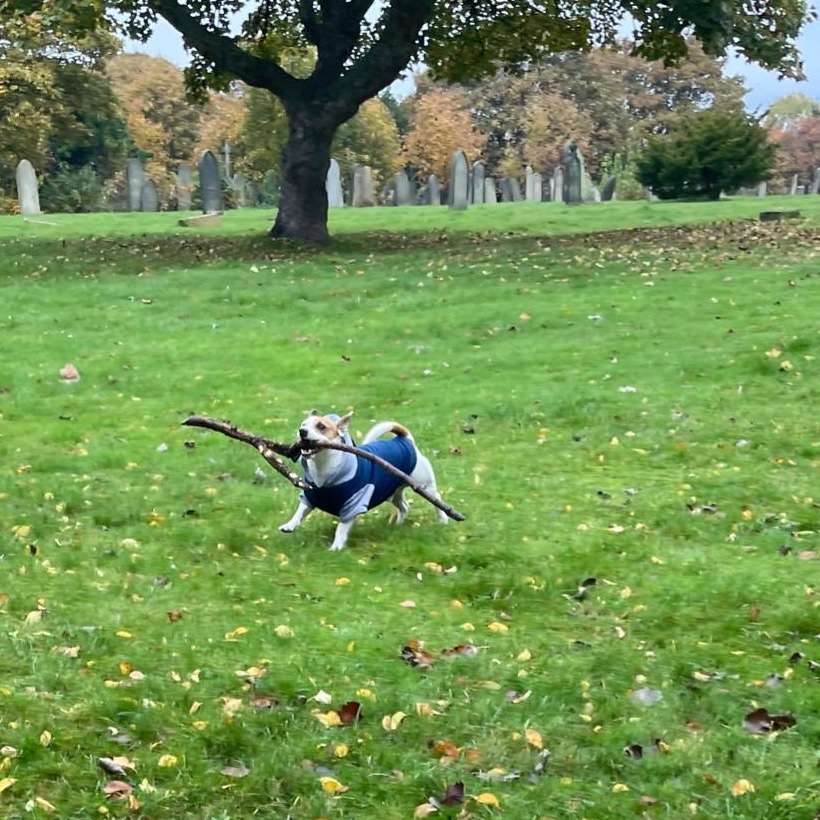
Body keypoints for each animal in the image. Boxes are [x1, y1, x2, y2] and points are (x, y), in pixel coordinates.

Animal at [280, 410, 448, 552]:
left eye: (321, 426)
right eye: (303, 424)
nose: (302, 431)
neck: (322, 469)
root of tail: (406, 440)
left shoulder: (353, 504)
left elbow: (341, 528)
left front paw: (336, 547)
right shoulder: (310, 496)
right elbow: (300, 511)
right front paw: (289, 525)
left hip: (424, 485)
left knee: (436, 499)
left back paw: (443, 519)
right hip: (392, 492)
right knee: (404, 506)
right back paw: (398, 524)